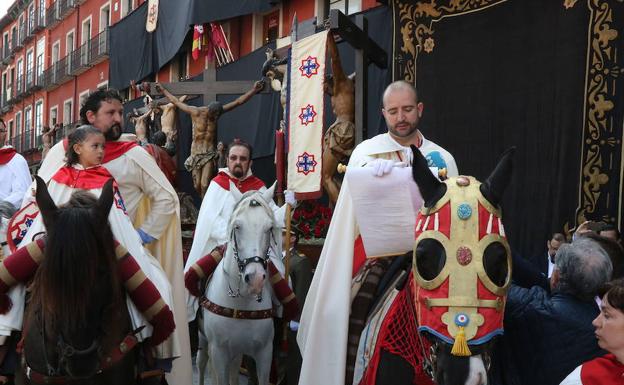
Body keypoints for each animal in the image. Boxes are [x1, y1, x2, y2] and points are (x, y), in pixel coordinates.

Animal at [199, 182, 282, 384]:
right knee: (201, 363)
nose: (255, 279)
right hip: (203, 341)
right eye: (237, 226)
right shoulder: (218, 353)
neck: (241, 303)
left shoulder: (264, 353)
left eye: (269, 228)